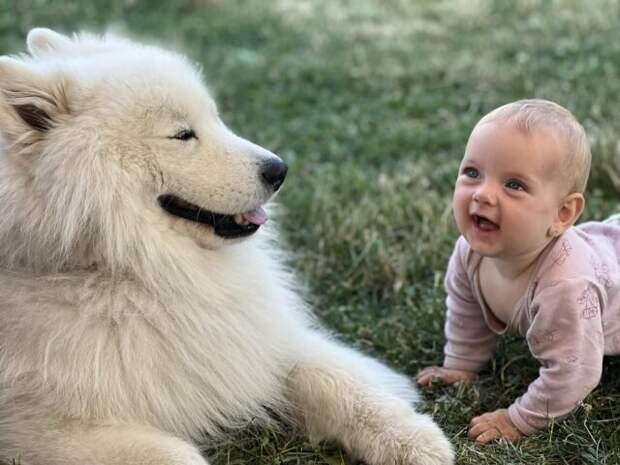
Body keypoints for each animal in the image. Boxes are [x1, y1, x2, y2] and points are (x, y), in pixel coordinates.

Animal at [0, 29, 452, 464]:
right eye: (182, 135)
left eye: (215, 118)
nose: (279, 170)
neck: (135, 272)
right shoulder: (35, 426)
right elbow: (175, 455)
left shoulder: (251, 343)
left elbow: (334, 380)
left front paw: (414, 439)